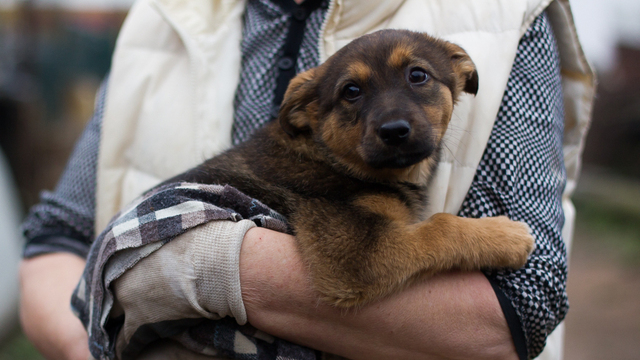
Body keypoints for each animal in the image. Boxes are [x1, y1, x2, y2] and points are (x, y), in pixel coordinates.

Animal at [166, 29, 536, 308]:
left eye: (418, 75)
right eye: (351, 91)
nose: (394, 131)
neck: (331, 156)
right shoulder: (354, 256)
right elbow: (440, 227)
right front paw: (506, 235)